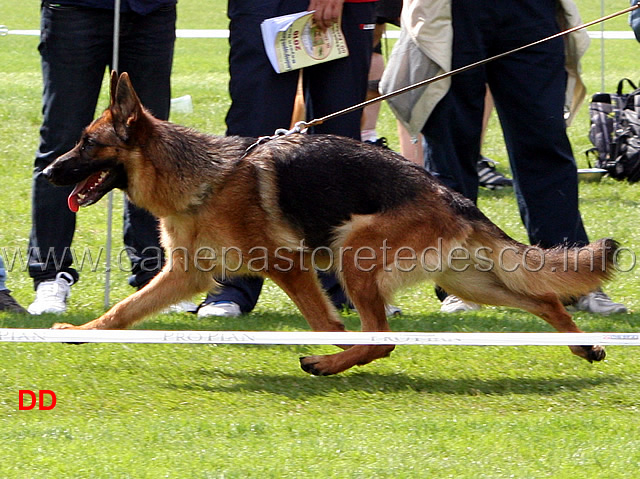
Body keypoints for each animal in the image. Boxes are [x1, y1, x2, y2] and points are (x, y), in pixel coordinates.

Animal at [43, 73, 616, 376]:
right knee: (544, 299)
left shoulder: (289, 267)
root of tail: (454, 196)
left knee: (383, 339)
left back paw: (326, 363)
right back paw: (581, 344)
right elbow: (124, 309)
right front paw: (84, 334)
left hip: (352, 253)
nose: (46, 172)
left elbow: (326, 322)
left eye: (87, 145)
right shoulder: (186, 274)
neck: (206, 178)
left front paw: (334, 346)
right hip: (463, 280)